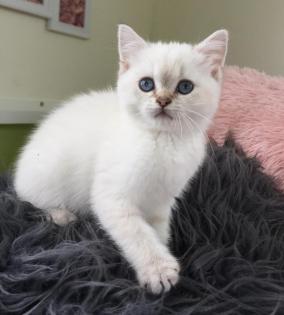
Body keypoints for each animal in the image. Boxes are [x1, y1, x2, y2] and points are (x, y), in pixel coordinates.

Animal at [15, 25, 229, 296]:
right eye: (146, 84)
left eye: (185, 87)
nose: (163, 100)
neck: (162, 140)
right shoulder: (112, 198)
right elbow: (137, 233)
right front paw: (158, 270)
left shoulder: (162, 202)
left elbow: (157, 231)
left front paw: (164, 251)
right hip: (46, 178)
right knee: (29, 199)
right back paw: (61, 215)